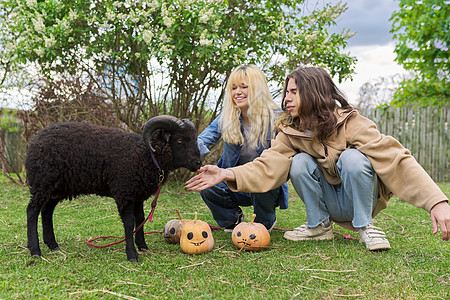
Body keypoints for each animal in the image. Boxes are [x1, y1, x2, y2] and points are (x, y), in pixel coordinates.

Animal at [24, 115, 200, 260]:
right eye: (179, 140)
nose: (198, 163)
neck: (148, 155)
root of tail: (34, 141)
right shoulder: (124, 193)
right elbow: (129, 223)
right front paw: (132, 254)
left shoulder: (137, 195)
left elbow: (140, 219)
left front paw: (143, 246)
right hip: (43, 183)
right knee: (32, 210)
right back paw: (35, 250)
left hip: (58, 187)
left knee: (47, 211)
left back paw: (53, 245)